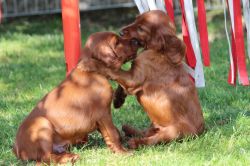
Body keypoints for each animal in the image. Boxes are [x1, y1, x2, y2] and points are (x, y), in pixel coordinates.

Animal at [12, 31, 139, 164]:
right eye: (117, 42)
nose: (136, 40)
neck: (92, 72)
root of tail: (16, 149)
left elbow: (115, 132)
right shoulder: (103, 113)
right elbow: (113, 133)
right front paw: (122, 152)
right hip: (41, 124)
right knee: (46, 157)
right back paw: (71, 157)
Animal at [87, 10, 204, 149]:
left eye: (141, 28)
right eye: (136, 19)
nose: (120, 32)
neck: (159, 50)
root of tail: (202, 131)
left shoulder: (134, 79)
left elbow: (115, 72)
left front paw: (94, 64)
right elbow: (121, 83)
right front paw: (118, 99)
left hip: (175, 130)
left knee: (154, 139)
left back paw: (136, 142)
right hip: (154, 123)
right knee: (147, 132)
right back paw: (130, 130)